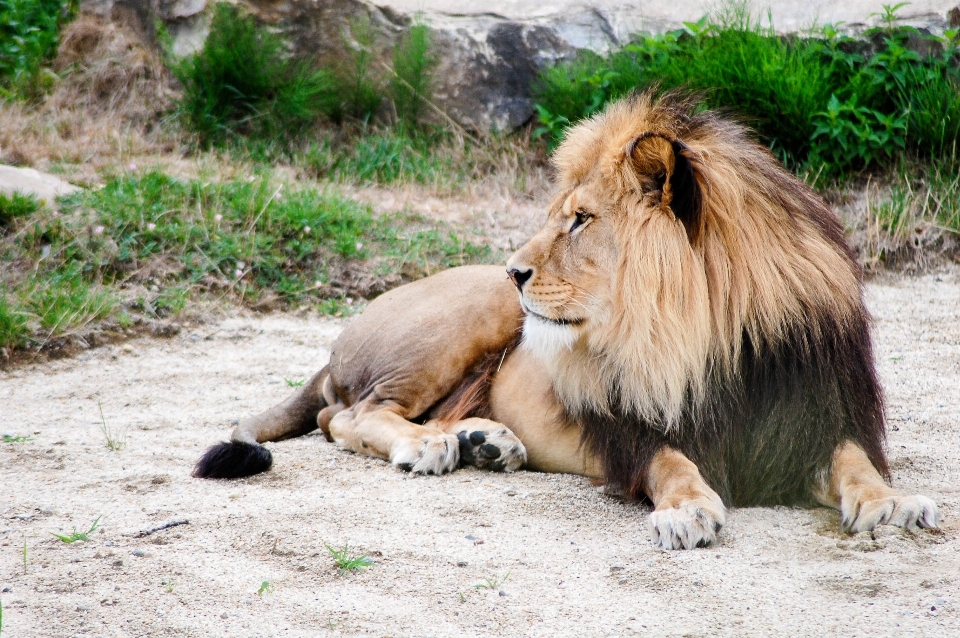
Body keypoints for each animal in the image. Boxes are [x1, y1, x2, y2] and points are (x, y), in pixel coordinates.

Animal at [193, 90, 936, 552]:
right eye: (561, 215)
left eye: (579, 220)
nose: (515, 269)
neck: (708, 335)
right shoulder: (631, 430)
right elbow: (671, 461)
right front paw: (687, 510)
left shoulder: (811, 417)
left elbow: (855, 461)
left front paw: (893, 504)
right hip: (465, 319)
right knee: (345, 415)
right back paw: (429, 446)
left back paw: (485, 442)